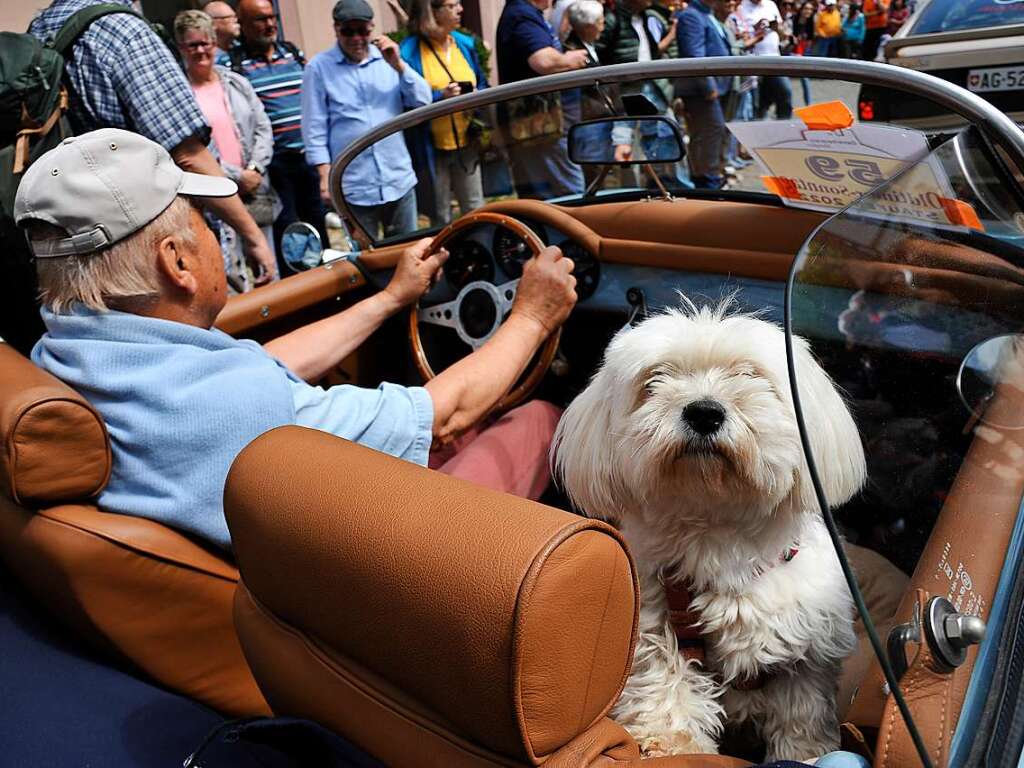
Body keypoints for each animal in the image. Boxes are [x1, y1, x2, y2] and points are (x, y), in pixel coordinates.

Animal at [552, 303, 864, 765]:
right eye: (656, 380)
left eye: (749, 375)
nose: (703, 412)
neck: (716, 530)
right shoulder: (654, 628)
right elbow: (666, 683)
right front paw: (672, 742)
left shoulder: (806, 653)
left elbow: (801, 713)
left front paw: (807, 752)